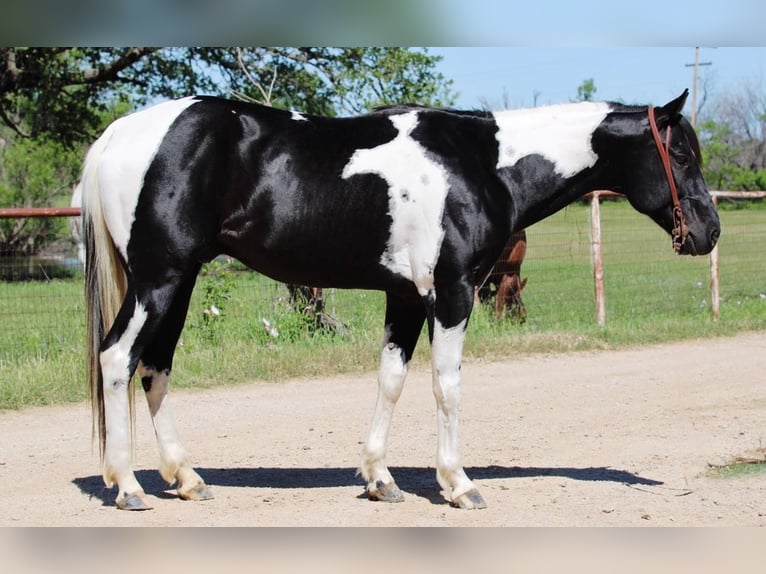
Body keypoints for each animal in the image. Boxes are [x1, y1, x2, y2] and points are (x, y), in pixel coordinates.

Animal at [82, 89, 720, 512]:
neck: (482, 164)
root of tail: (120, 133)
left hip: (179, 280)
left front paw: (380, 478)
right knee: (117, 358)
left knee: (155, 367)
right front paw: (458, 484)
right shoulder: (454, 293)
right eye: (681, 155)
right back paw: (130, 487)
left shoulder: (406, 298)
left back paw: (186, 478)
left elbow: (390, 380)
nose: (709, 232)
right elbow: (447, 385)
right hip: (160, 278)